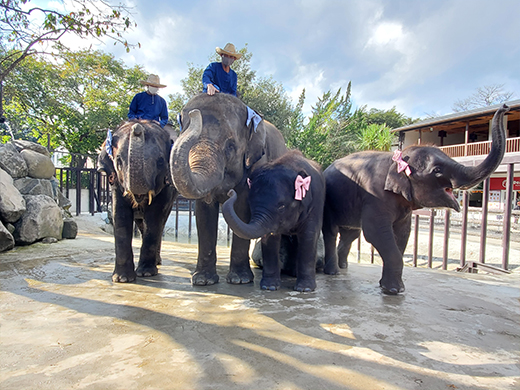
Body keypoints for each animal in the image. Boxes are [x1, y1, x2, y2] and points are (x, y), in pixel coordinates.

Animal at [97, 120, 177, 282]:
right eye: (119, 161)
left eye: (160, 162)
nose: (137, 127)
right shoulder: (116, 184)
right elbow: (120, 214)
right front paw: (122, 279)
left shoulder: (165, 188)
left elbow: (154, 217)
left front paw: (146, 274)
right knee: (141, 225)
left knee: (159, 223)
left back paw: (156, 262)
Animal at [171, 93, 286, 284]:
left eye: (230, 146)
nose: (194, 114)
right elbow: (204, 214)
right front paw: (202, 280)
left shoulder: (255, 166)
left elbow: (242, 210)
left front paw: (240, 280)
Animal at [322, 105, 510, 294]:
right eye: (437, 170)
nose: (504, 107)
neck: (395, 160)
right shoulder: (375, 197)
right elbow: (376, 232)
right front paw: (394, 291)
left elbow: (403, 233)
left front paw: (390, 288)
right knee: (332, 232)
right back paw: (333, 271)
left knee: (351, 234)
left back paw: (343, 267)